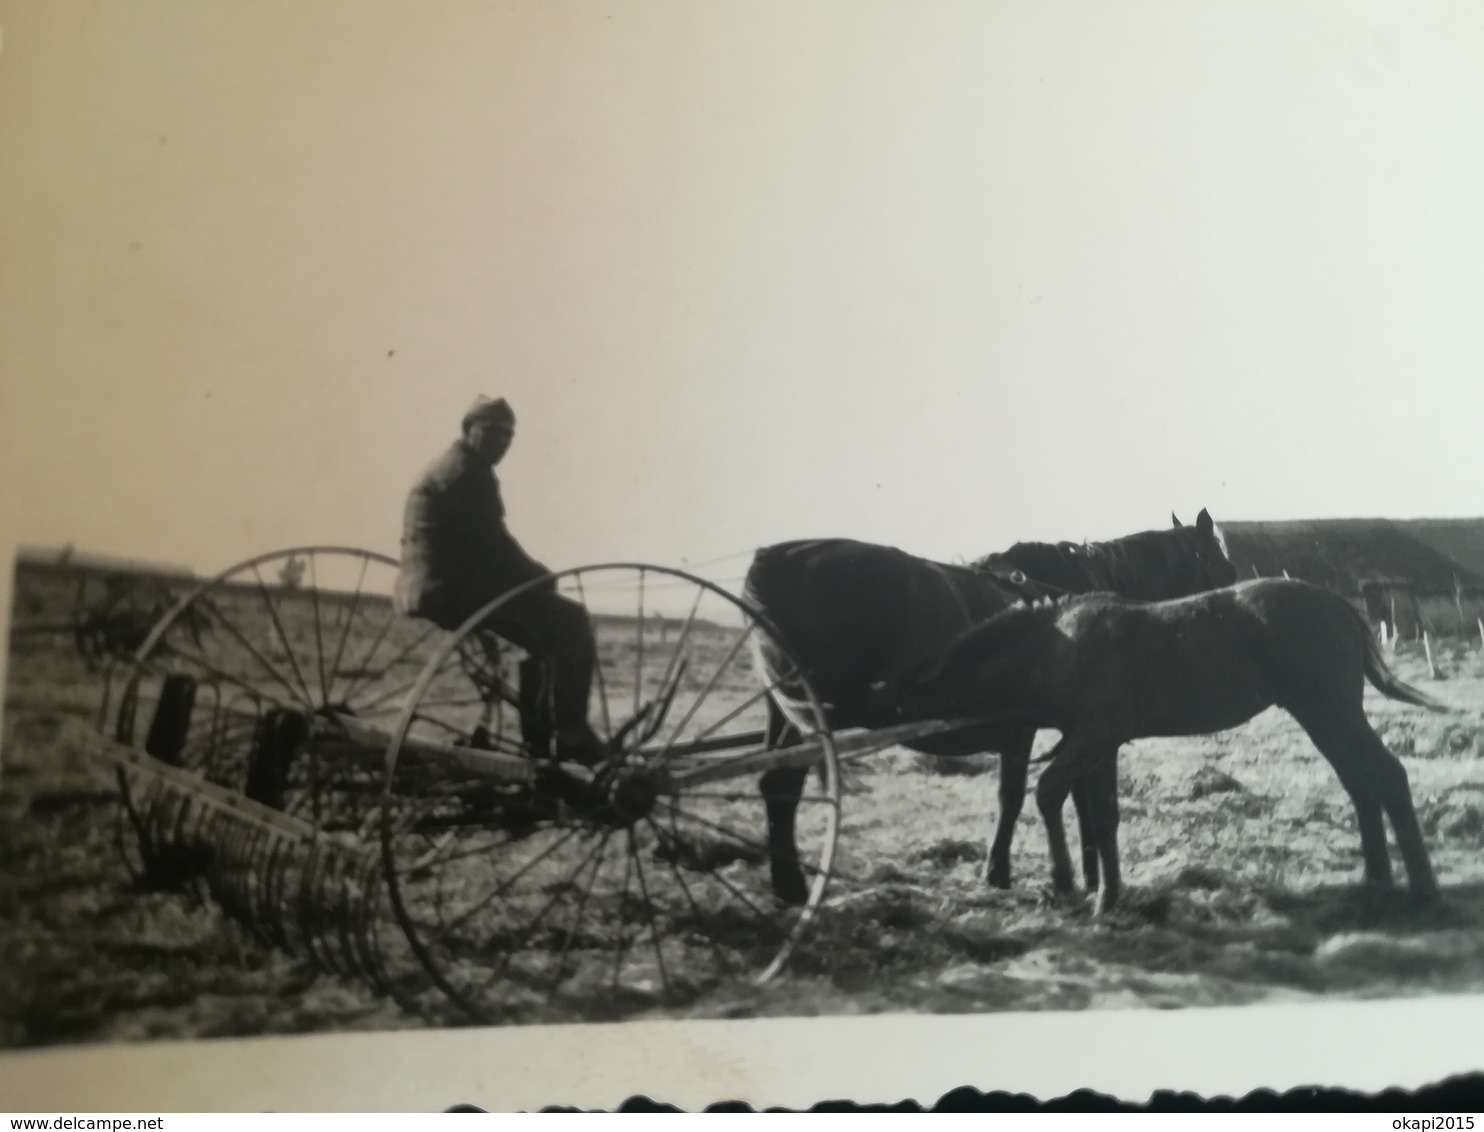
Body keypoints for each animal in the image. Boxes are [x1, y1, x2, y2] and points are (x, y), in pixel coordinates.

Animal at [742, 510, 1240, 907]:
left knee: (775, 786)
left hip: (781, 713)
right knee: (785, 784)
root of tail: (772, 561)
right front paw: (1014, 872)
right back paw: (793, 886)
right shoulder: (1037, 729)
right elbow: (1027, 796)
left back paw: (785, 884)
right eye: (1222, 564)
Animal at [884, 578, 1442, 913]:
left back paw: (1422, 891)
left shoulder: (1091, 737)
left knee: (1386, 775)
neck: (1058, 645)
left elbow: (1048, 793)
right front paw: (1107, 896)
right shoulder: (1100, 744)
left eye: (902, 705)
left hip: (1329, 711)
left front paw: (1066, 883)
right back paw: (1377, 882)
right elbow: (1103, 815)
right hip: (1323, 716)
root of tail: (1337, 603)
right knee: (1361, 780)